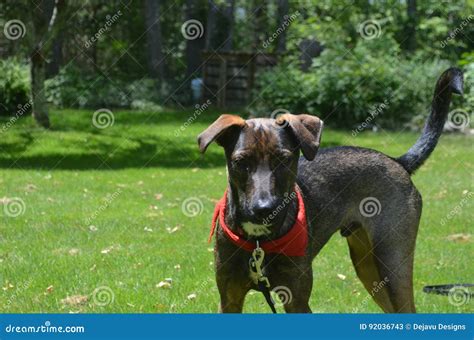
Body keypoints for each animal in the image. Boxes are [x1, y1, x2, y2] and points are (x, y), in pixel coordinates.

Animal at [196, 67, 462, 314]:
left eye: (284, 160)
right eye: (241, 162)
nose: (264, 209)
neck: (259, 241)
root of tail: (397, 161)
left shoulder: (297, 299)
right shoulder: (229, 298)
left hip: (392, 262)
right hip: (369, 266)